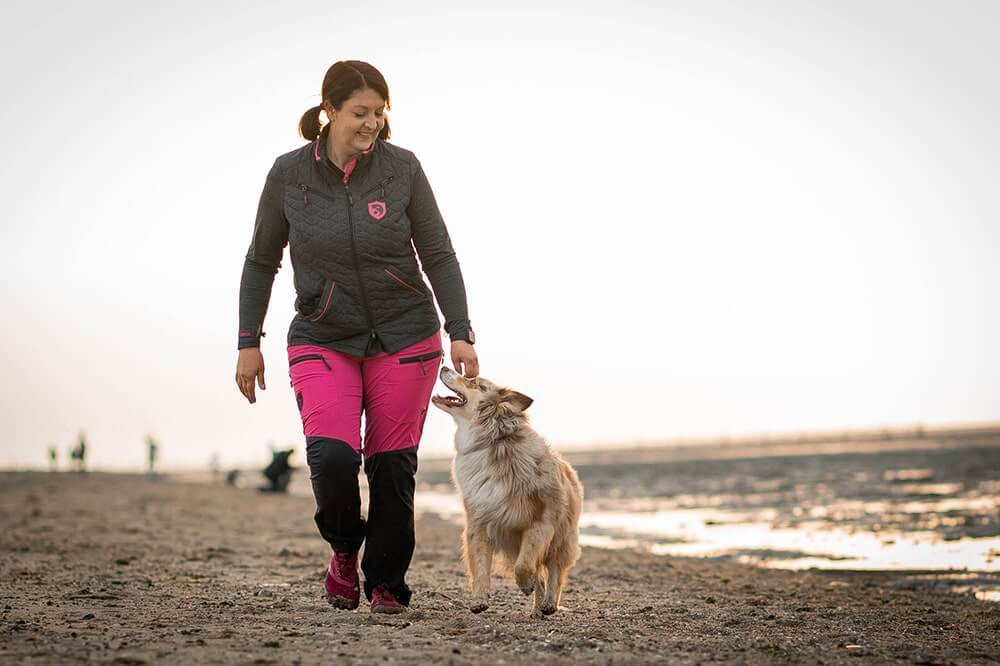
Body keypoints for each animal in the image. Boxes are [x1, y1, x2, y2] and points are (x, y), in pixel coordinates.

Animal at [432, 366, 584, 616]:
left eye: (475, 382)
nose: (443, 366)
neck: (492, 441)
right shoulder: (479, 522)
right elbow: (481, 565)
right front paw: (479, 599)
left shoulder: (540, 522)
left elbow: (525, 565)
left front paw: (525, 585)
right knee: (539, 572)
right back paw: (536, 609)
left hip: (563, 535)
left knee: (554, 569)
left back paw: (549, 603)